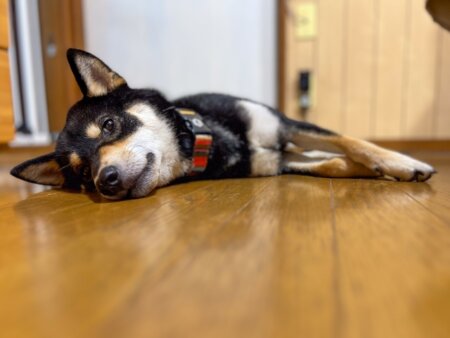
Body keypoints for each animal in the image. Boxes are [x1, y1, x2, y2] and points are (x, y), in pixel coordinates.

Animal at [10, 48, 438, 199]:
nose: (105, 180)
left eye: (110, 124)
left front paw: (403, 162)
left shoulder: (283, 126)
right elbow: (335, 162)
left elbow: (350, 142)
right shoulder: (278, 160)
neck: (214, 138)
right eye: (83, 175)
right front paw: (380, 170)